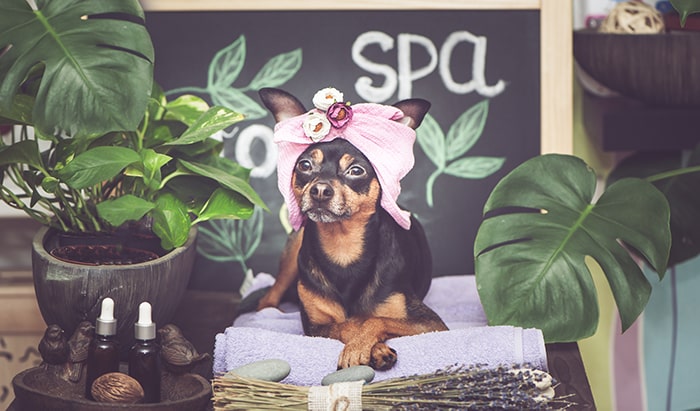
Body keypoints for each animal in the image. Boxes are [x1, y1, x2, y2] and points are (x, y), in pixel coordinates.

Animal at [258, 88, 448, 372]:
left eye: (356, 171)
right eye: (305, 165)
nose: (320, 190)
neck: (343, 248)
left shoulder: (430, 323)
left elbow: (373, 319)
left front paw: (362, 347)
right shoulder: (315, 327)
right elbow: (348, 324)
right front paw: (369, 348)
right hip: (293, 251)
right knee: (269, 295)